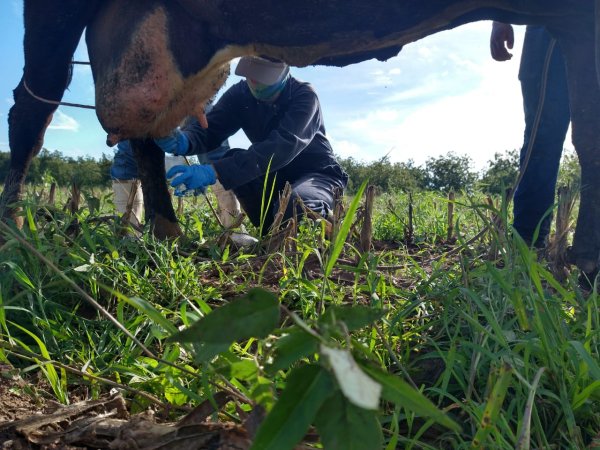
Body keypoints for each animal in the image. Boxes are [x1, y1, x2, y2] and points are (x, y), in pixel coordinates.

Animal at [1, 0, 600, 276]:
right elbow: (585, 135)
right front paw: (585, 276)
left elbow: (546, 119)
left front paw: (531, 256)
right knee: (31, 108)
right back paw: (14, 234)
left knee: (142, 130)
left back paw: (170, 236)